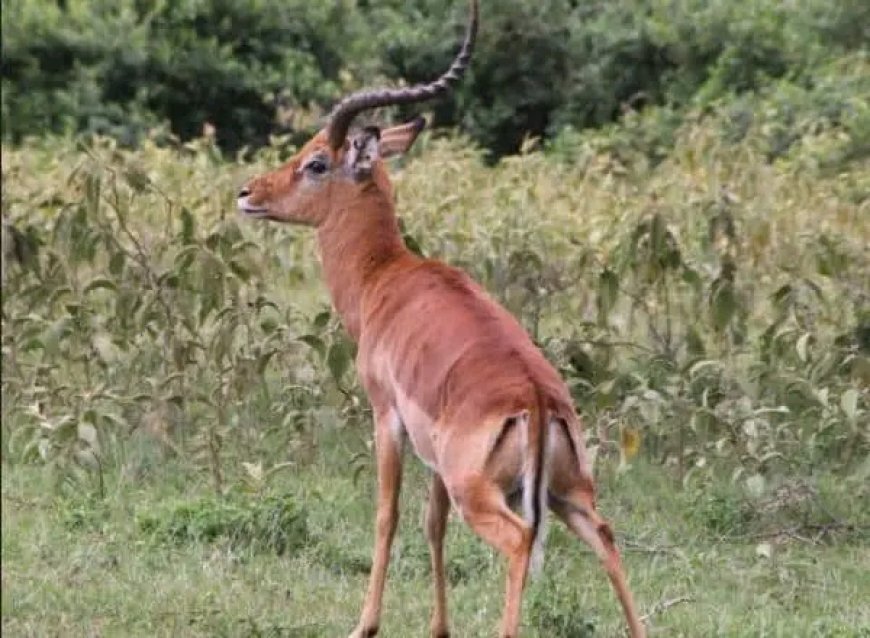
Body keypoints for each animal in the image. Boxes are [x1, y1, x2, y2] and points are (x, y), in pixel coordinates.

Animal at [238, 2, 648, 636]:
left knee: (518, 541)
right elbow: (432, 525)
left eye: (316, 161)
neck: (384, 277)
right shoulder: (428, 448)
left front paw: (365, 624)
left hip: (480, 492)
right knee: (606, 538)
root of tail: (536, 399)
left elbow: (386, 515)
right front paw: (439, 627)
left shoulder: (386, 418)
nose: (248, 192)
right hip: (569, 493)